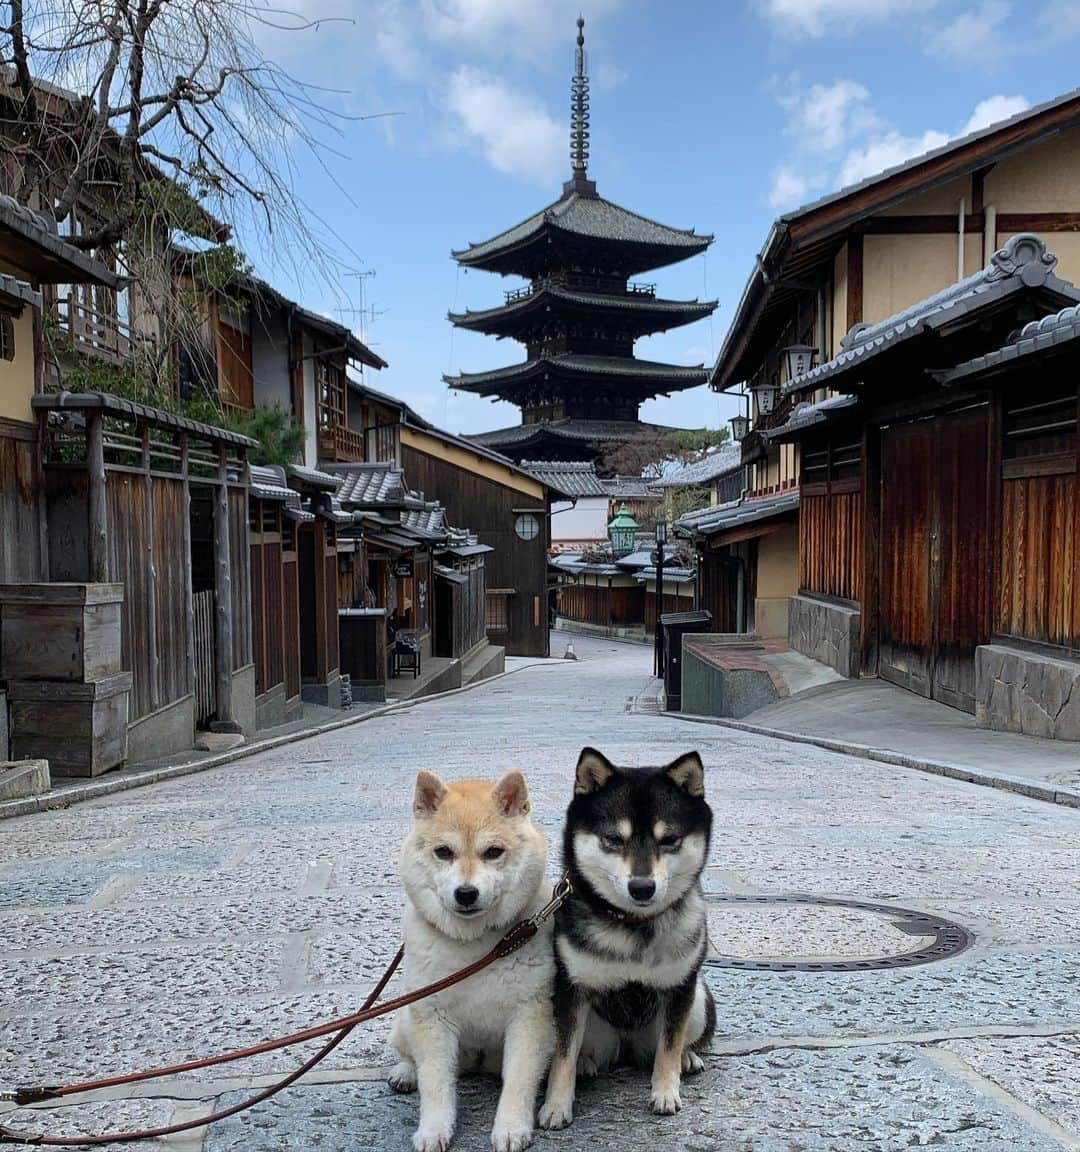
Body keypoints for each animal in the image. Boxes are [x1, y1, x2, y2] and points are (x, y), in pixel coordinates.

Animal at [389, 769, 554, 1152]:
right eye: (443, 852)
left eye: (493, 852)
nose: (466, 893)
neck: (475, 947)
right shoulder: (431, 1016)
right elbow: (434, 1083)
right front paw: (433, 1130)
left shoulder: (530, 1015)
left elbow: (519, 1081)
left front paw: (511, 1127)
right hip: (406, 1018)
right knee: (410, 1055)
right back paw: (405, 1073)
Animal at [534, 746, 709, 1124]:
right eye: (614, 839)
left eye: (669, 840)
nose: (642, 887)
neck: (633, 924)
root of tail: (626, 1048)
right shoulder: (570, 989)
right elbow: (563, 1055)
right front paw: (556, 1105)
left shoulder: (680, 987)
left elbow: (669, 1047)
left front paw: (665, 1091)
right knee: (580, 1052)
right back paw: (586, 1065)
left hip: (699, 999)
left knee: (675, 1042)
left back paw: (688, 1057)